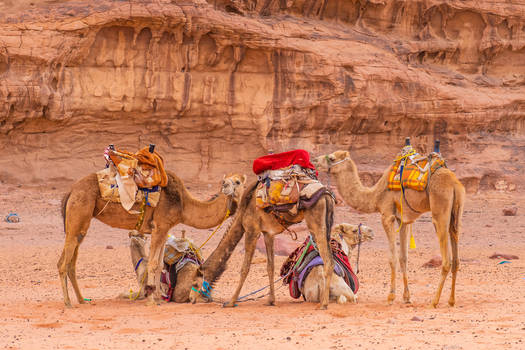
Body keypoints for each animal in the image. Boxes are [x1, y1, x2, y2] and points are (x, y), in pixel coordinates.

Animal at [57, 172, 248, 306]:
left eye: (238, 182)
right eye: (226, 181)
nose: (225, 186)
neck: (183, 205)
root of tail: (71, 191)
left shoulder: (164, 229)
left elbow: (160, 264)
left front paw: (157, 297)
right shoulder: (160, 226)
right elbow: (153, 263)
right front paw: (151, 300)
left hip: (81, 225)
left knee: (71, 262)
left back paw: (82, 300)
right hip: (77, 216)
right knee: (63, 263)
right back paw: (67, 303)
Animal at [188, 182, 336, 310]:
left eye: (195, 283)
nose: (191, 299)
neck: (242, 212)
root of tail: (327, 195)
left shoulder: (251, 231)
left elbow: (245, 268)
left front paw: (230, 302)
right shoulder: (268, 233)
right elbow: (270, 267)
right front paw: (271, 300)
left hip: (316, 224)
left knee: (328, 261)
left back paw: (323, 304)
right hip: (326, 226)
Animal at [312, 150, 462, 306]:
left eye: (331, 158)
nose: (314, 160)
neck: (376, 195)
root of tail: (455, 184)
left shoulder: (387, 216)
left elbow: (392, 258)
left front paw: (391, 297)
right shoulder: (404, 220)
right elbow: (403, 258)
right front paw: (406, 297)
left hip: (440, 211)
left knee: (447, 261)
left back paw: (434, 301)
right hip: (456, 214)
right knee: (456, 258)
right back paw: (451, 300)